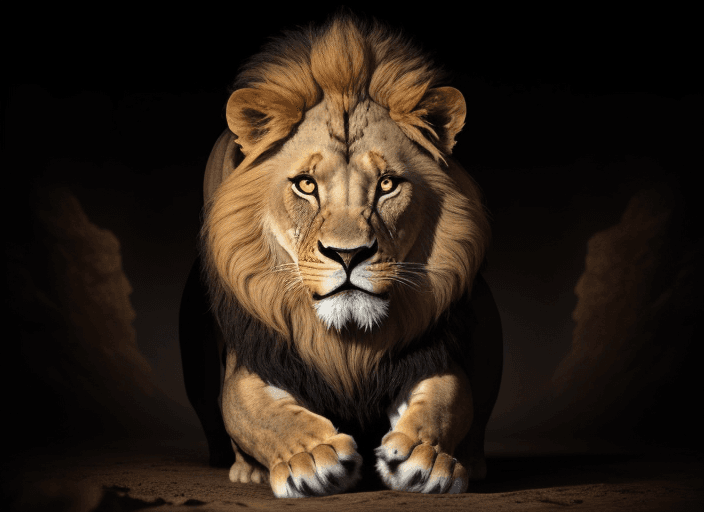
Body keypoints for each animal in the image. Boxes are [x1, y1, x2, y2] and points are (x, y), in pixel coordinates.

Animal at [179, 13, 503, 497]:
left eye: (387, 184)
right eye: (306, 185)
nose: (348, 256)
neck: (345, 343)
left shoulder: (426, 349)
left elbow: (446, 398)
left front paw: (423, 455)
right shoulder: (257, 354)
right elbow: (259, 412)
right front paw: (313, 456)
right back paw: (247, 469)